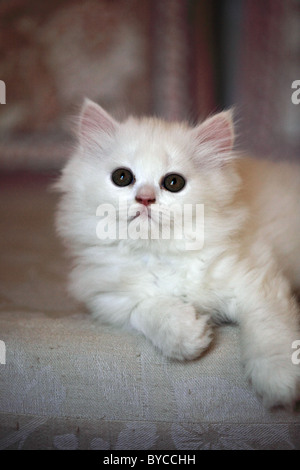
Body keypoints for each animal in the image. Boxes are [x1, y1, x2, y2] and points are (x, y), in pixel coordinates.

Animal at [54, 98, 300, 408]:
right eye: (122, 177)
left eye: (173, 182)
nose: (145, 198)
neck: (160, 252)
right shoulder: (108, 299)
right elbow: (148, 308)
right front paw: (188, 335)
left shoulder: (257, 285)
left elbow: (271, 333)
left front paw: (279, 381)